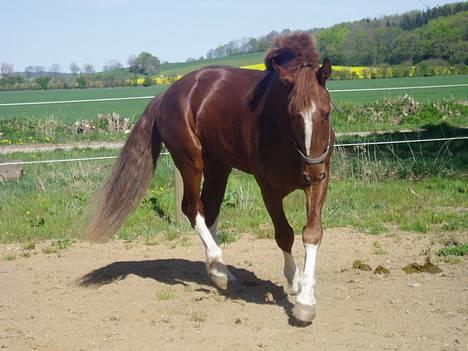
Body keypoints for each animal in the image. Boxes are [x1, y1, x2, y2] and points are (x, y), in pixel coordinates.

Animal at [88, 33, 334, 324]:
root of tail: (167, 94)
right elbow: (284, 234)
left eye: (327, 112)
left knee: (210, 209)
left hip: (219, 166)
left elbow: (312, 233)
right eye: (292, 114)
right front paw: (295, 285)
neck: (284, 139)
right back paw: (219, 270)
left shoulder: (318, 185)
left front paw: (305, 299)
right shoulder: (268, 189)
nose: (313, 171)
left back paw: (218, 269)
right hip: (191, 162)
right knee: (192, 208)